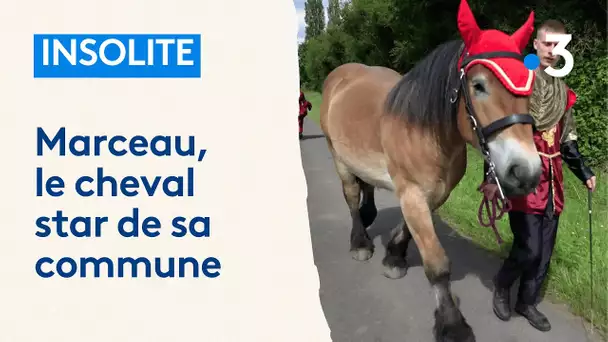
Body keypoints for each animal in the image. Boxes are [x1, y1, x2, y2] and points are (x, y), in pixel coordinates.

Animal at [318, 1, 540, 340]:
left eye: (529, 88)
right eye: (478, 86)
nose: (526, 171)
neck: (425, 130)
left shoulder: (434, 194)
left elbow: (408, 231)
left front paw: (394, 255)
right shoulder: (412, 193)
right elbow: (437, 264)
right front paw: (452, 325)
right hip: (338, 158)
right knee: (352, 196)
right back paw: (360, 242)